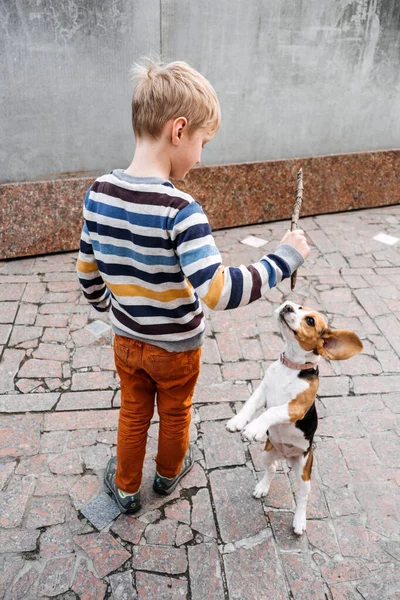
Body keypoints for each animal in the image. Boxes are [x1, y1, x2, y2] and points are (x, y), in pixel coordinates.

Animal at [225, 300, 362, 536]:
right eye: (297, 306)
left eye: (310, 321)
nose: (287, 306)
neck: (290, 367)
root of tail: (286, 456)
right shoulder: (263, 391)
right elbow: (250, 404)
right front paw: (238, 421)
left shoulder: (295, 407)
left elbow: (271, 412)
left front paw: (254, 428)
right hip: (267, 454)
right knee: (271, 469)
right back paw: (263, 487)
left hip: (304, 472)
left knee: (303, 497)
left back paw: (299, 521)